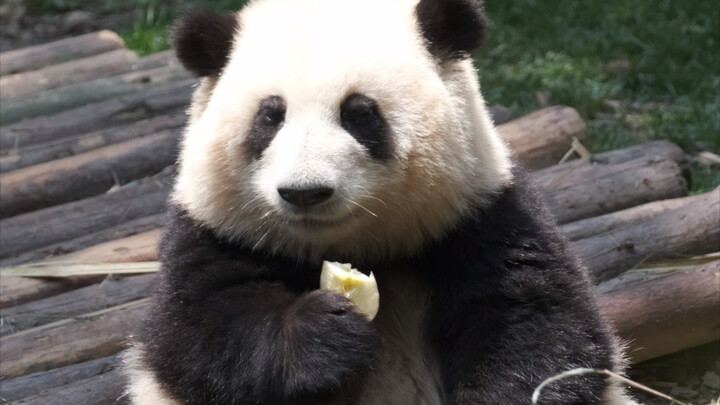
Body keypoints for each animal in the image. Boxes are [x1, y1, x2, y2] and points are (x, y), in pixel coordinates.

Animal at [125, 0, 640, 404]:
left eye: (359, 113)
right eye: (270, 117)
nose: (305, 192)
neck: (361, 246)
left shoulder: (482, 214)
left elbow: (539, 326)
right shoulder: (215, 232)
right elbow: (197, 334)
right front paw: (322, 330)